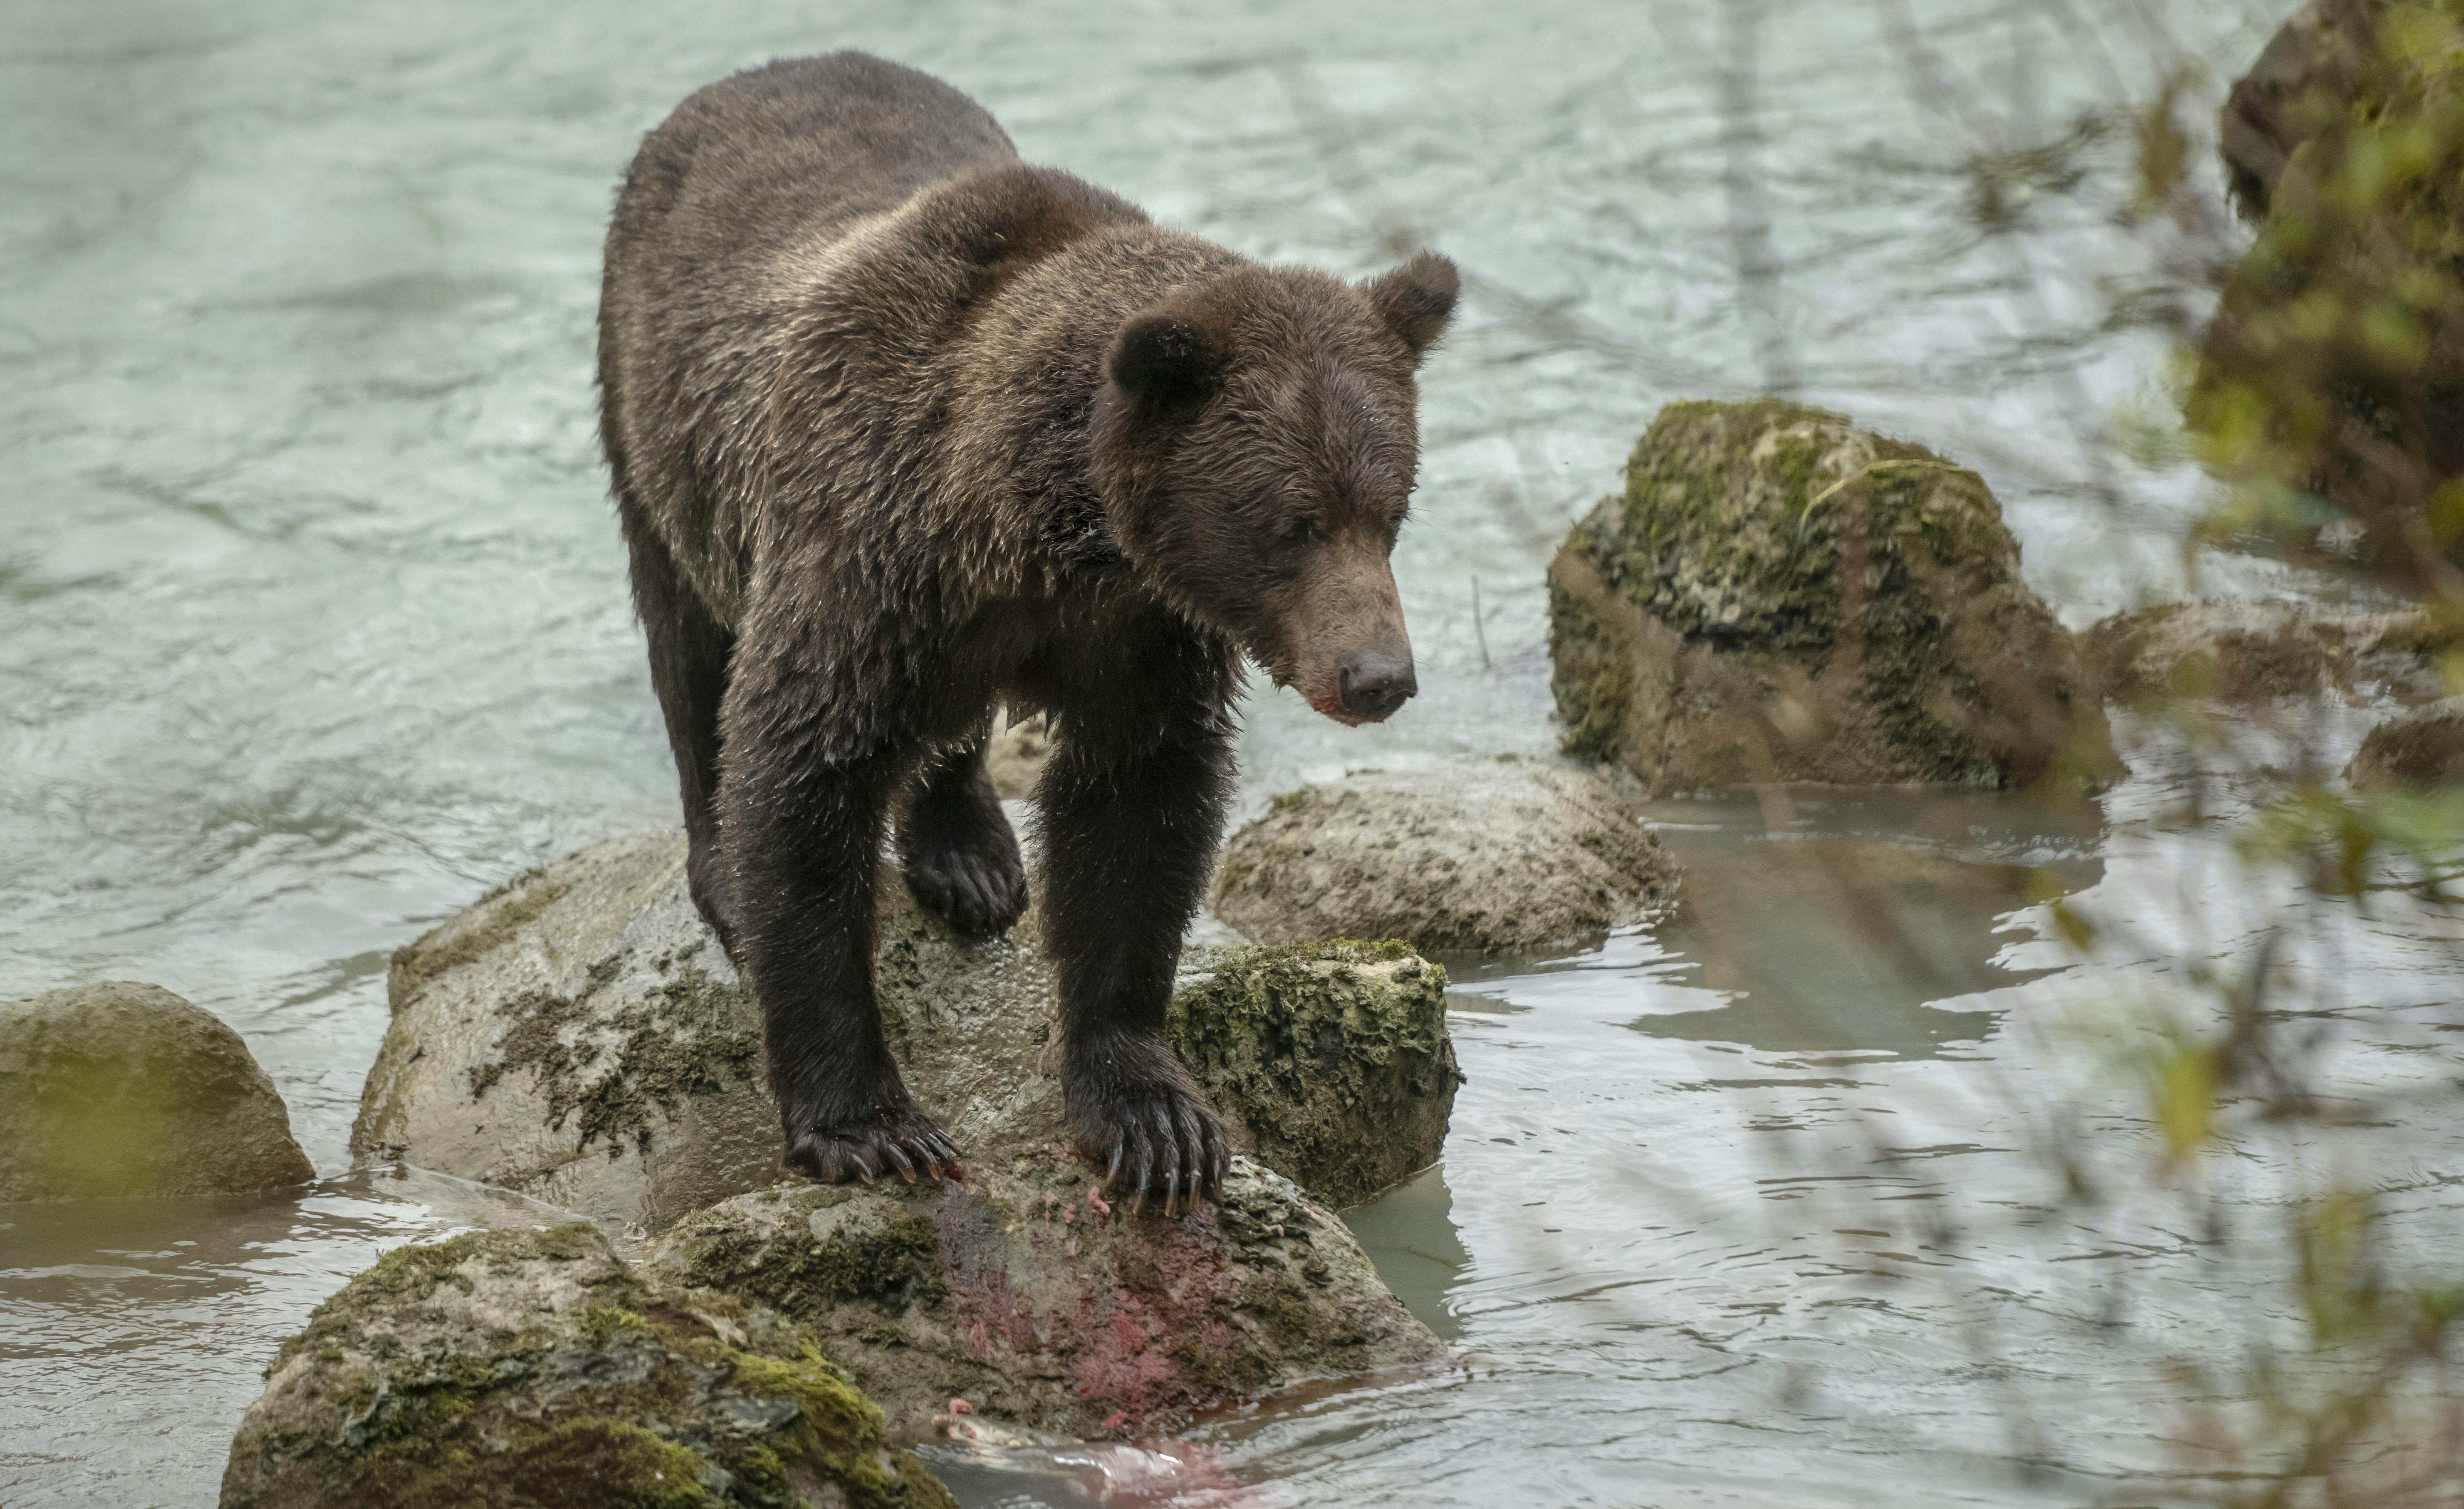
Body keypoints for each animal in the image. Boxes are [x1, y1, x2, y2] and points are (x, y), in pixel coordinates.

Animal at [597, 52, 1455, 1211]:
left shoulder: (1134, 638)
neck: (1031, 525)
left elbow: (1136, 820)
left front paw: (1152, 1114)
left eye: (1389, 509)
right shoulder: (863, 552)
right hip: (655, 424)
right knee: (690, 652)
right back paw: (727, 859)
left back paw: (969, 853)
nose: (1377, 676)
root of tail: (745, 79)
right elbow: (801, 774)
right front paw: (869, 1124)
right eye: (1295, 522)